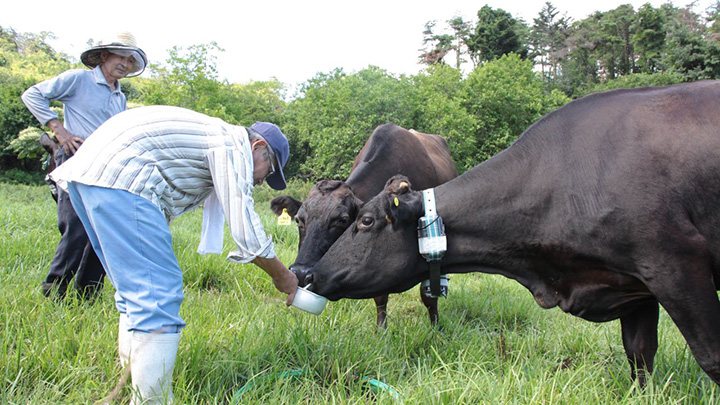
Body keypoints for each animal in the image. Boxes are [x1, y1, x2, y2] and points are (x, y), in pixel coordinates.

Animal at [272, 122, 458, 326]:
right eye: (298, 219)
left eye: (342, 220)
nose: (300, 272)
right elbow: (380, 296)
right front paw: (381, 329)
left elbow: (428, 295)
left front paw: (435, 327)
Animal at [302, 81, 720, 386]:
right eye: (300, 219)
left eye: (362, 221)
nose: (308, 274)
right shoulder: (633, 285)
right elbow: (639, 356)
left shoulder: (674, 264)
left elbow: (710, 357)